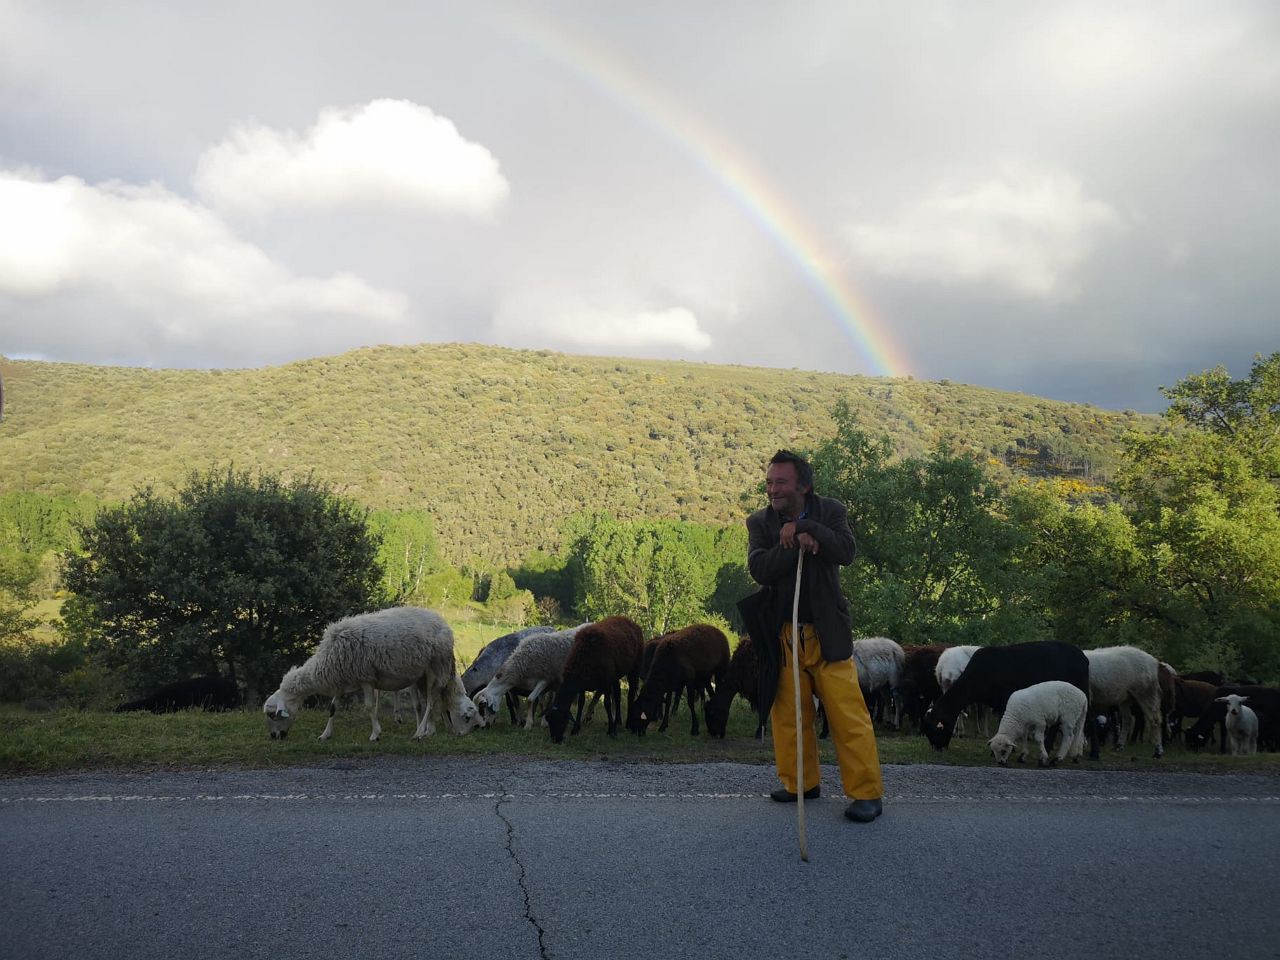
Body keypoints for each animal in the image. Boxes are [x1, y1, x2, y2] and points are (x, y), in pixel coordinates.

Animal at [261, 609, 481, 742]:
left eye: (272, 715)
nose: (274, 736)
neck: (326, 660)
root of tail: (442, 621)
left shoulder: (365, 677)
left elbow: (368, 706)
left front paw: (375, 734)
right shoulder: (342, 681)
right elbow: (333, 708)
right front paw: (325, 734)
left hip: (435, 667)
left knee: (431, 701)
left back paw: (419, 733)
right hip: (422, 674)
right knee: (431, 700)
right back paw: (430, 730)